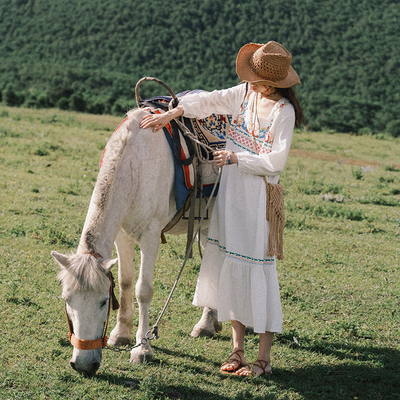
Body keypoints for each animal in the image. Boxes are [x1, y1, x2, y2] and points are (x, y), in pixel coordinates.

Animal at [51, 106, 220, 376]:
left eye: (103, 302)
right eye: (67, 300)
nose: (84, 366)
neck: (136, 164)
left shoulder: (150, 234)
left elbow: (143, 290)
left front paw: (142, 349)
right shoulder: (122, 234)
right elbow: (125, 282)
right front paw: (120, 334)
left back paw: (210, 324)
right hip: (204, 225)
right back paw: (211, 322)